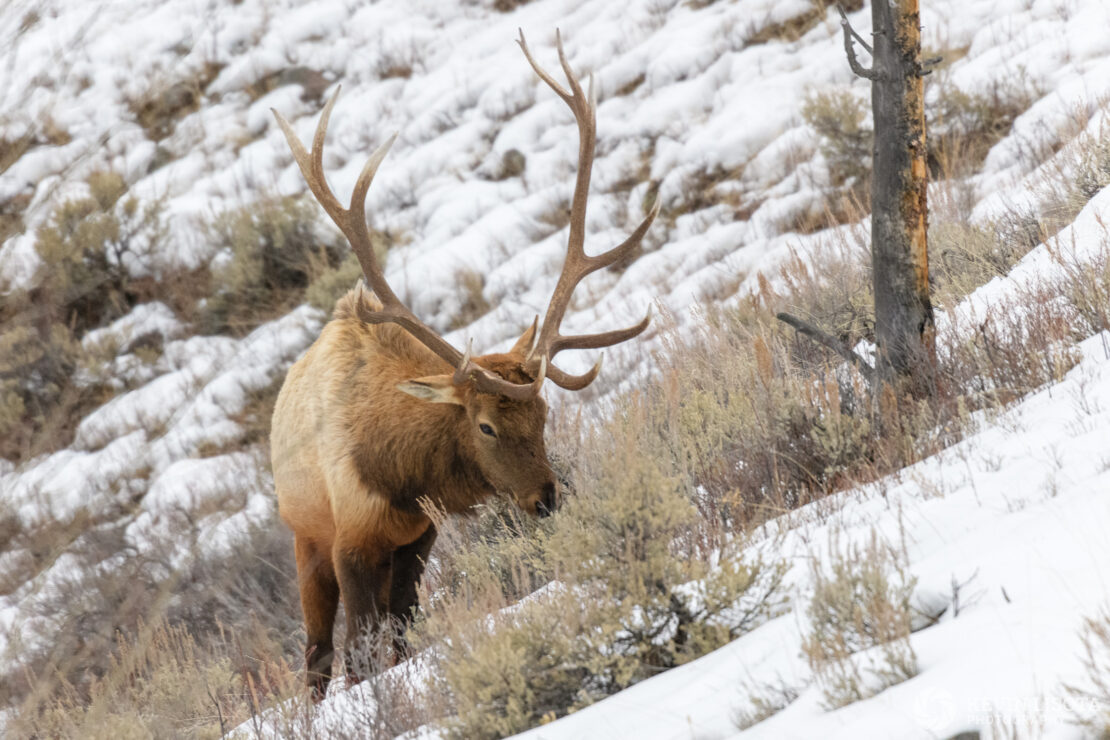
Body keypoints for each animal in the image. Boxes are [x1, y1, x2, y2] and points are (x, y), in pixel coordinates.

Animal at [266, 30, 657, 701]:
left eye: (546, 415)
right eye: (485, 426)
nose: (545, 498)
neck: (396, 473)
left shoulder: (418, 537)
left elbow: (399, 639)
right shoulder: (350, 539)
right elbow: (358, 657)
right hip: (304, 535)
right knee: (316, 658)